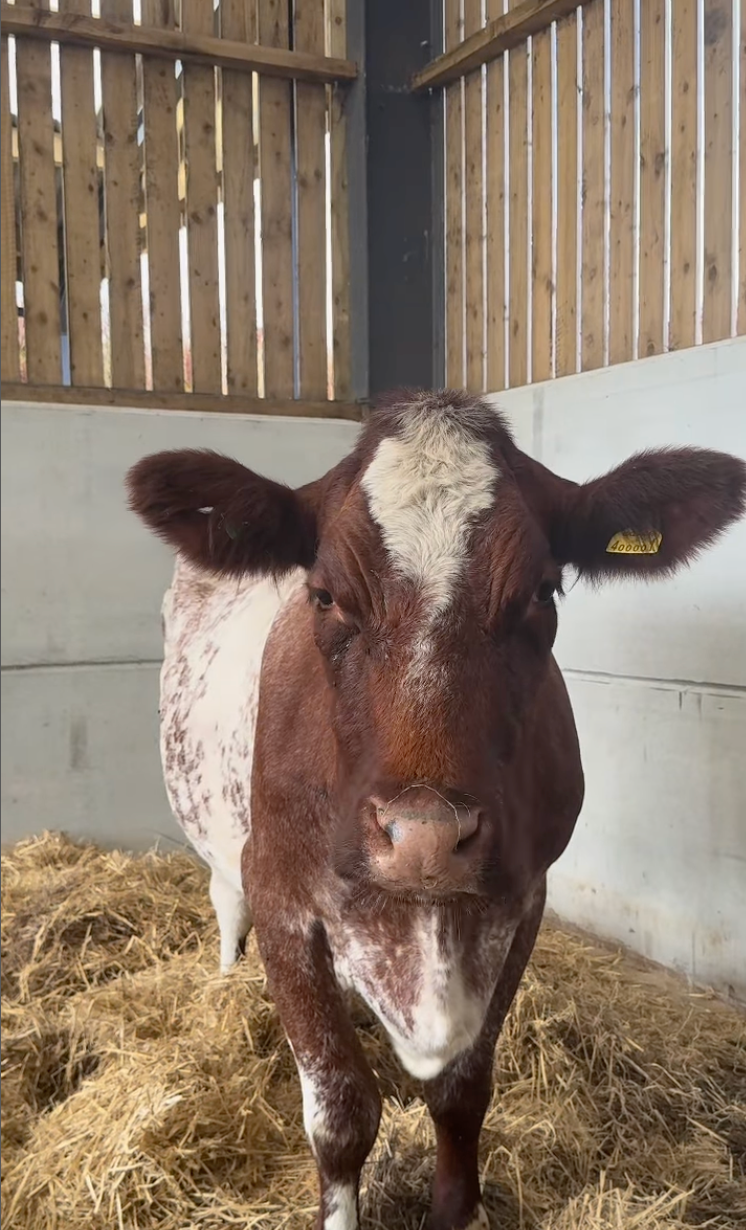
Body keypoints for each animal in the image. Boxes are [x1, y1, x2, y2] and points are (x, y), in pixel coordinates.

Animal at [127, 390, 745, 1230]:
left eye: (542, 592)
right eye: (324, 595)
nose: (422, 837)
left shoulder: (522, 898)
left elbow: (461, 1094)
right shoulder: (283, 900)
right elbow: (340, 1114)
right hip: (223, 843)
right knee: (225, 907)